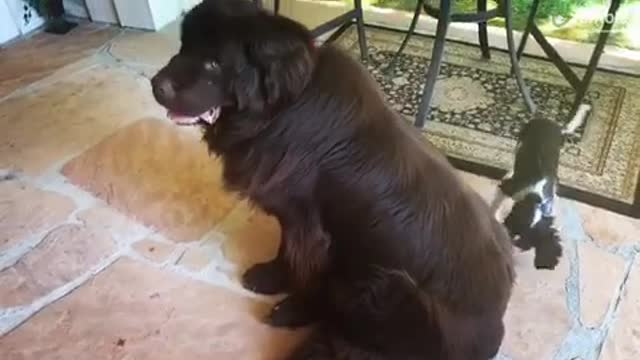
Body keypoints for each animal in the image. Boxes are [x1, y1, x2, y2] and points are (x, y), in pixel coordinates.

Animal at [150, 1, 516, 358]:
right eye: (182, 47)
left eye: (213, 63)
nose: (155, 84)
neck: (281, 107)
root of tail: (497, 326)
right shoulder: (295, 217)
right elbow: (286, 249)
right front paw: (271, 276)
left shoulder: (311, 228)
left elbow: (309, 270)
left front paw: (293, 306)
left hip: (392, 287)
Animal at [492, 102, 592, 268]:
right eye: (513, 230)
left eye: (525, 244)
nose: (510, 244)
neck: (534, 197)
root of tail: (554, 125)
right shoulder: (509, 189)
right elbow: (497, 206)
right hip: (522, 137)